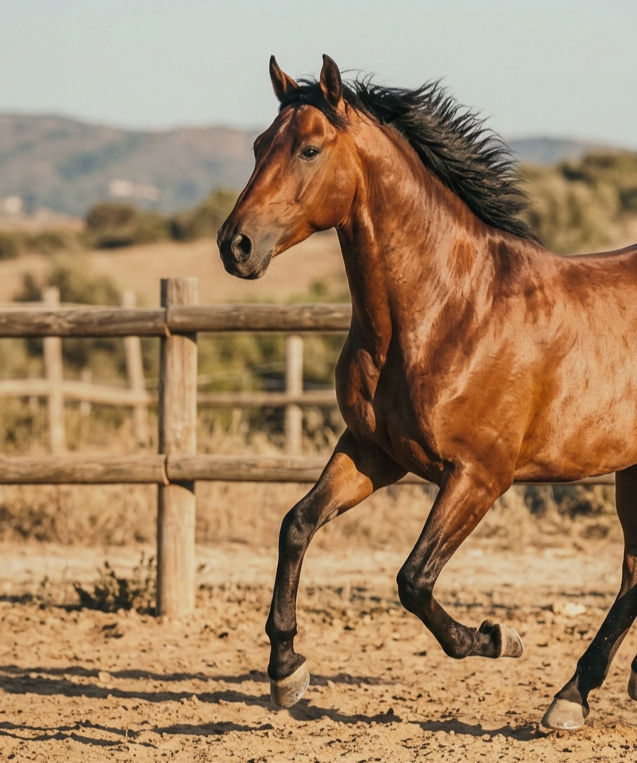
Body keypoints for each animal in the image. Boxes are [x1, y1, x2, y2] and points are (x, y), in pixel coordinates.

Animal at [217, 54, 637, 730]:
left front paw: (497, 638)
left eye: (309, 149)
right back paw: (581, 693)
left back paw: (572, 695)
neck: (449, 310)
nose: (235, 246)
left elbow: (413, 579)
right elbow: (296, 525)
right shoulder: (373, 452)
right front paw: (285, 672)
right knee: (633, 574)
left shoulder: (479, 476)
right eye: (259, 145)